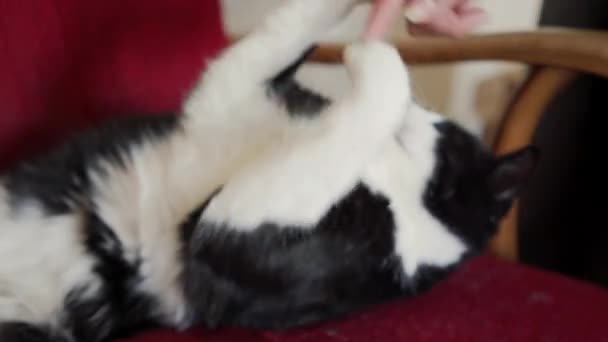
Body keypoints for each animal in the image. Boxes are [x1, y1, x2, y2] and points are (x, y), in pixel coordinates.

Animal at [0, 0, 540, 340]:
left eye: (448, 138)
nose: (420, 110)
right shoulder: (232, 96)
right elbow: (283, 34)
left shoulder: (229, 234)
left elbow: (351, 121)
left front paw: (372, 52)